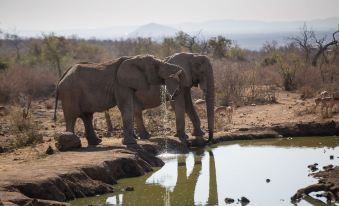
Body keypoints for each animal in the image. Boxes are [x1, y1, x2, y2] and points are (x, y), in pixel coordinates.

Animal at [53, 54, 186, 145]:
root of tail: (61, 78)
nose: (174, 95)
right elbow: (126, 107)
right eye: (156, 66)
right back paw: (73, 146)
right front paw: (131, 143)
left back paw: (97, 142)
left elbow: (130, 107)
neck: (133, 58)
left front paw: (132, 140)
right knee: (71, 117)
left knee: (87, 117)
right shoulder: (120, 84)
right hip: (70, 92)